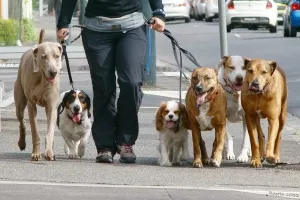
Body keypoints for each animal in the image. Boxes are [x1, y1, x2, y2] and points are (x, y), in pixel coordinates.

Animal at [14, 29, 63, 161]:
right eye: (43, 57)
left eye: (57, 56)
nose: (53, 72)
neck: (41, 77)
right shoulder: (32, 105)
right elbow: (35, 132)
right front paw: (36, 154)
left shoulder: (52, 105)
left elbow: (50, 131)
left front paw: (49, 152)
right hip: (20, 101)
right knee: (22, 121)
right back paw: (21, 143)